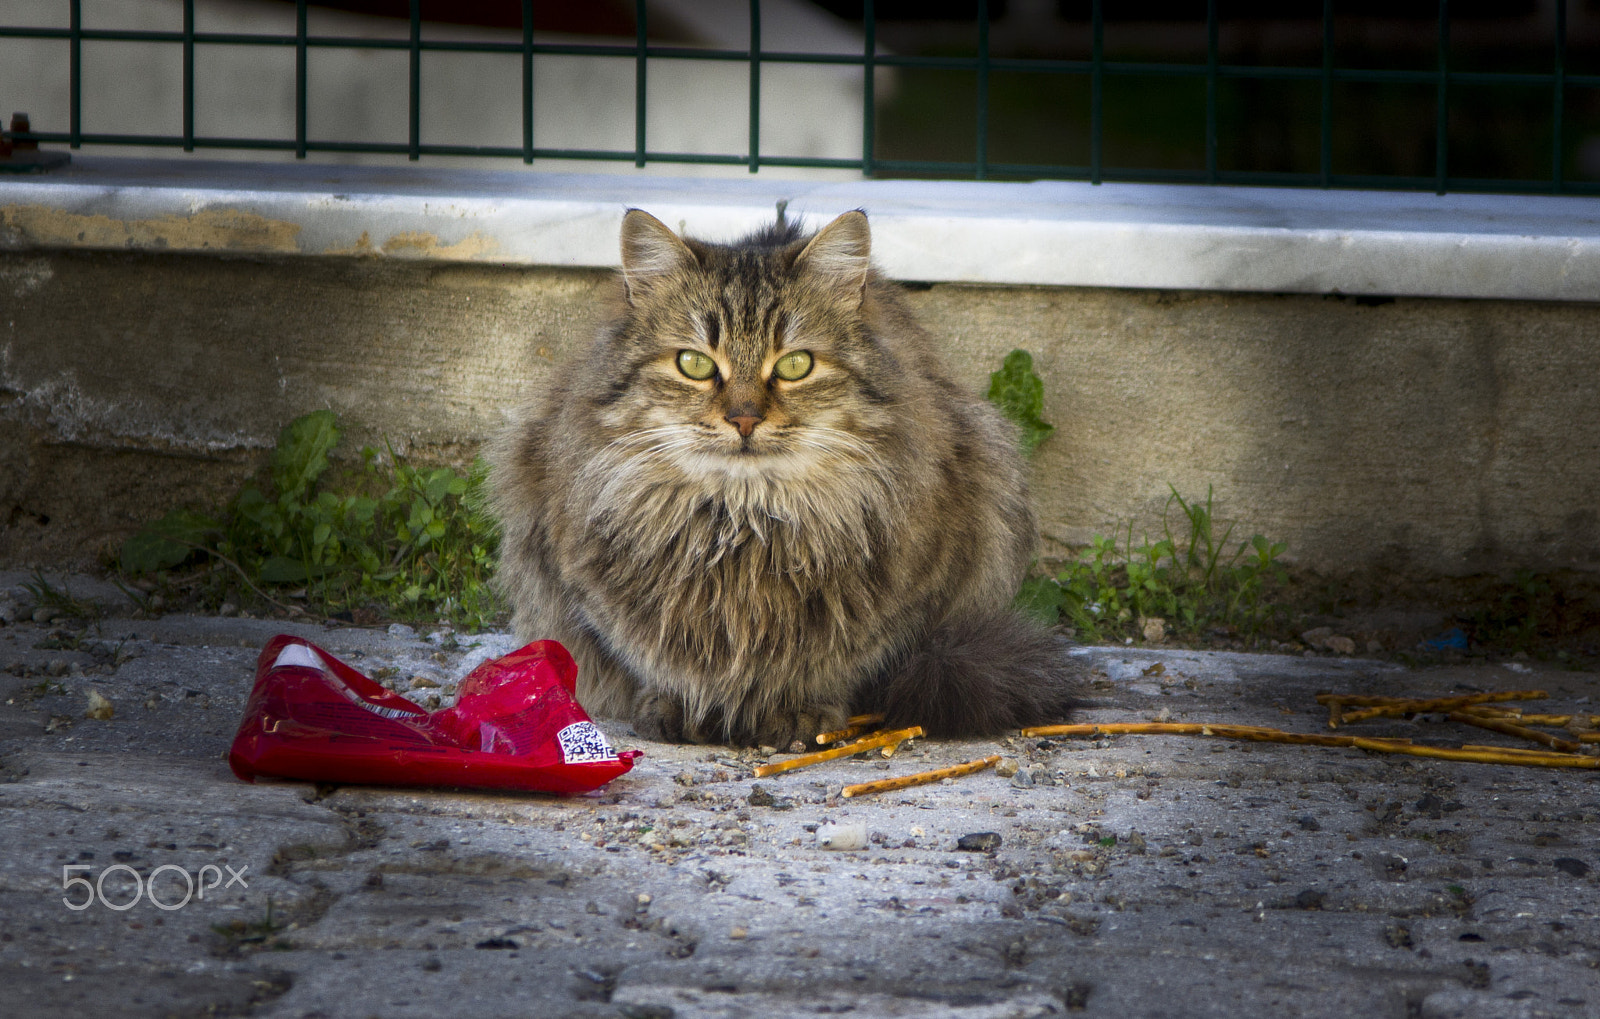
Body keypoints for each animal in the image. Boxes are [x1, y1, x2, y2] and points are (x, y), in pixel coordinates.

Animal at [489, 206, 1075, 748]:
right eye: (694, 364)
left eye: (795, 365)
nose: (744, 419)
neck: (743, 523)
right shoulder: (584, 581)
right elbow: (652, 657)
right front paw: (679, 705)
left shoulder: (911, 593)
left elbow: (836, 660)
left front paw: (799, 712)